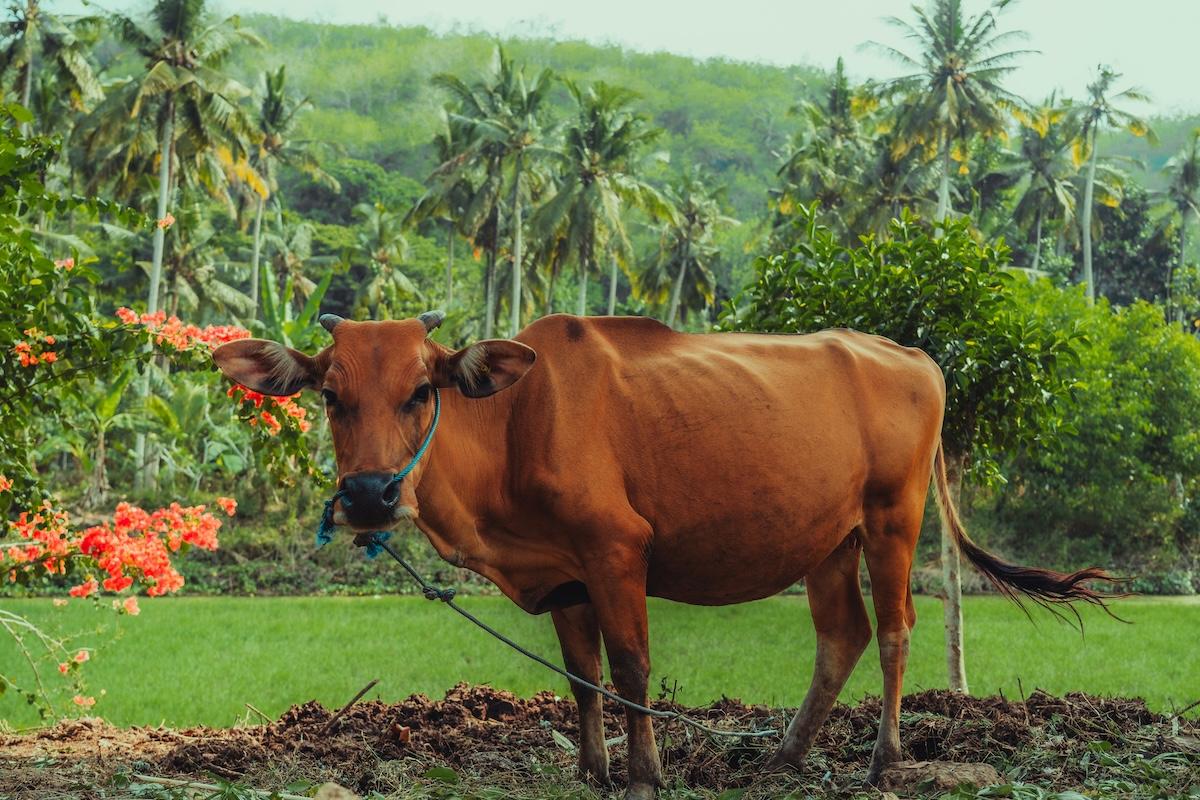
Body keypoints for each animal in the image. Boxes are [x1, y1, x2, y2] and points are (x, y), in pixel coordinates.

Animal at [212, 312, 1114, 800]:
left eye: (420, 391)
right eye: (332, 395)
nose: (368, 496)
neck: (515, 425)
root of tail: (913, 355)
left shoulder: (617, 551)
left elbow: (632, 667)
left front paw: (644, 772)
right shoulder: (565, 574)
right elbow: (583, 676)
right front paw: (590, 768)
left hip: (892, 517)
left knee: (894, 631)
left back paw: (883, 758)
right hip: (827, 539)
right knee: (842, 634)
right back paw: (786, 753)